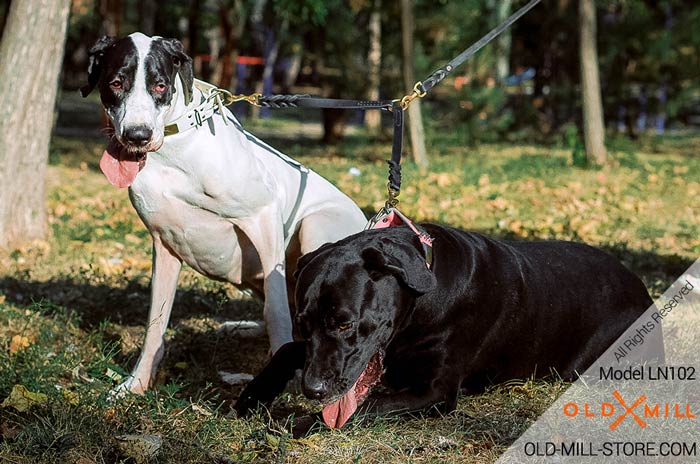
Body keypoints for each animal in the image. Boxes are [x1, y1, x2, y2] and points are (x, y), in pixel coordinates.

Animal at [80, 33, 366, 396]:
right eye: (116, 83)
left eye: (160, 86)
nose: (137, 135)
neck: (174, 154)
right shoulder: (163, 246)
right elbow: (155, 324)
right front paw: (136, 383)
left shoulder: (264, 217)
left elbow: (276, 311)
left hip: (316, 227)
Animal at [238, 225, 664, 428]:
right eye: (303, 324)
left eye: (345, 323)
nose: (312, 390)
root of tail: (643, 288)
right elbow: (287, 350)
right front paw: (252, 397)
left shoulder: (435, 391)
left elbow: (367, 405)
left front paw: (297, 421)